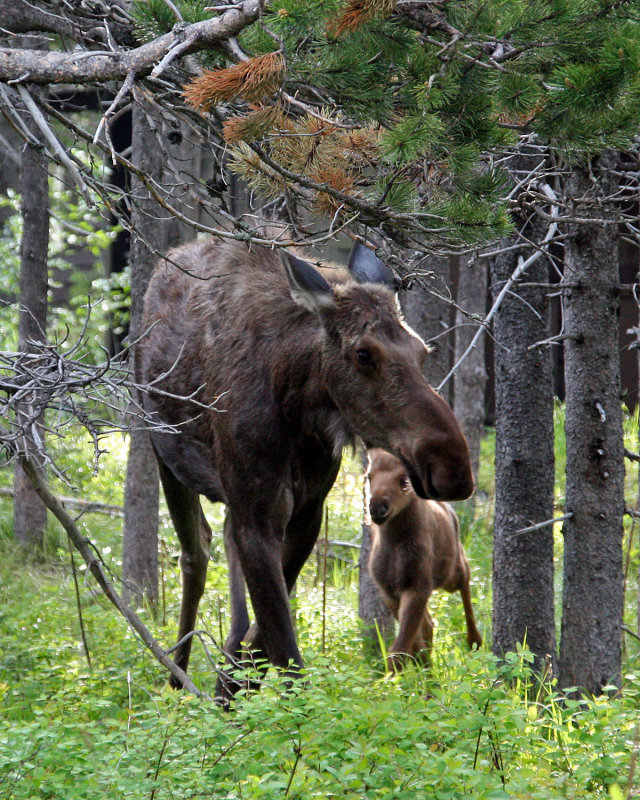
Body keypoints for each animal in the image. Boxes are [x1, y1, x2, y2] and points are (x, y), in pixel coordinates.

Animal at [364, 450, 480, 668]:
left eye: (403, 479)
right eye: (369, 476)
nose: (376, 508)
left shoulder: (418, 586)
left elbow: (399, 649)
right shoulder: (390, 591)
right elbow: (412, 641)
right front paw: (423, 670)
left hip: (453, 573)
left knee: (466, 582)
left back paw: (474, 641)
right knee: (429, 624)